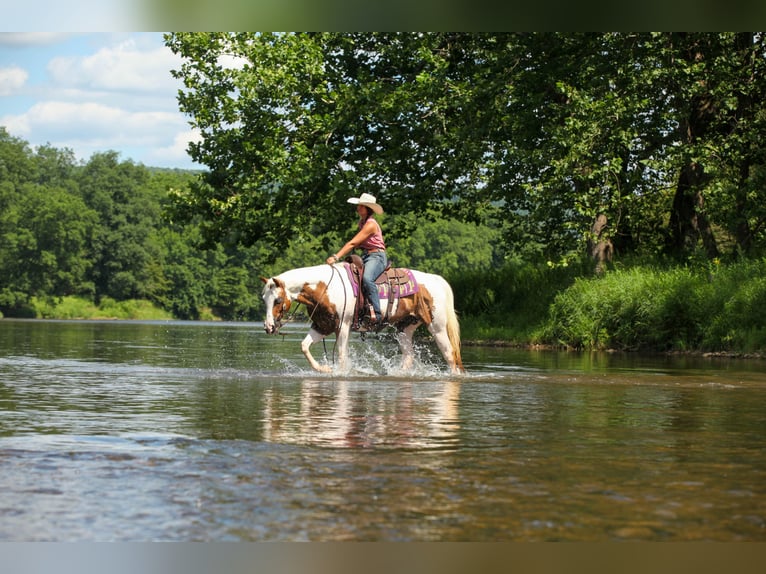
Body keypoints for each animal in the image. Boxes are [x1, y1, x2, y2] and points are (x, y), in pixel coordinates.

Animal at [261, 262, 464, 374]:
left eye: (278, 300)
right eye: (264, 299)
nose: (269, 327)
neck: (325, 288)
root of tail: (436, 280)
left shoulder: (343, 326)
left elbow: (341, 355)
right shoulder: (322, 326)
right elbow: (304, 346)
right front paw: (324, 369)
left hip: (437, 326)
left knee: (449, 354)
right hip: (405, 327)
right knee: (409, 356)